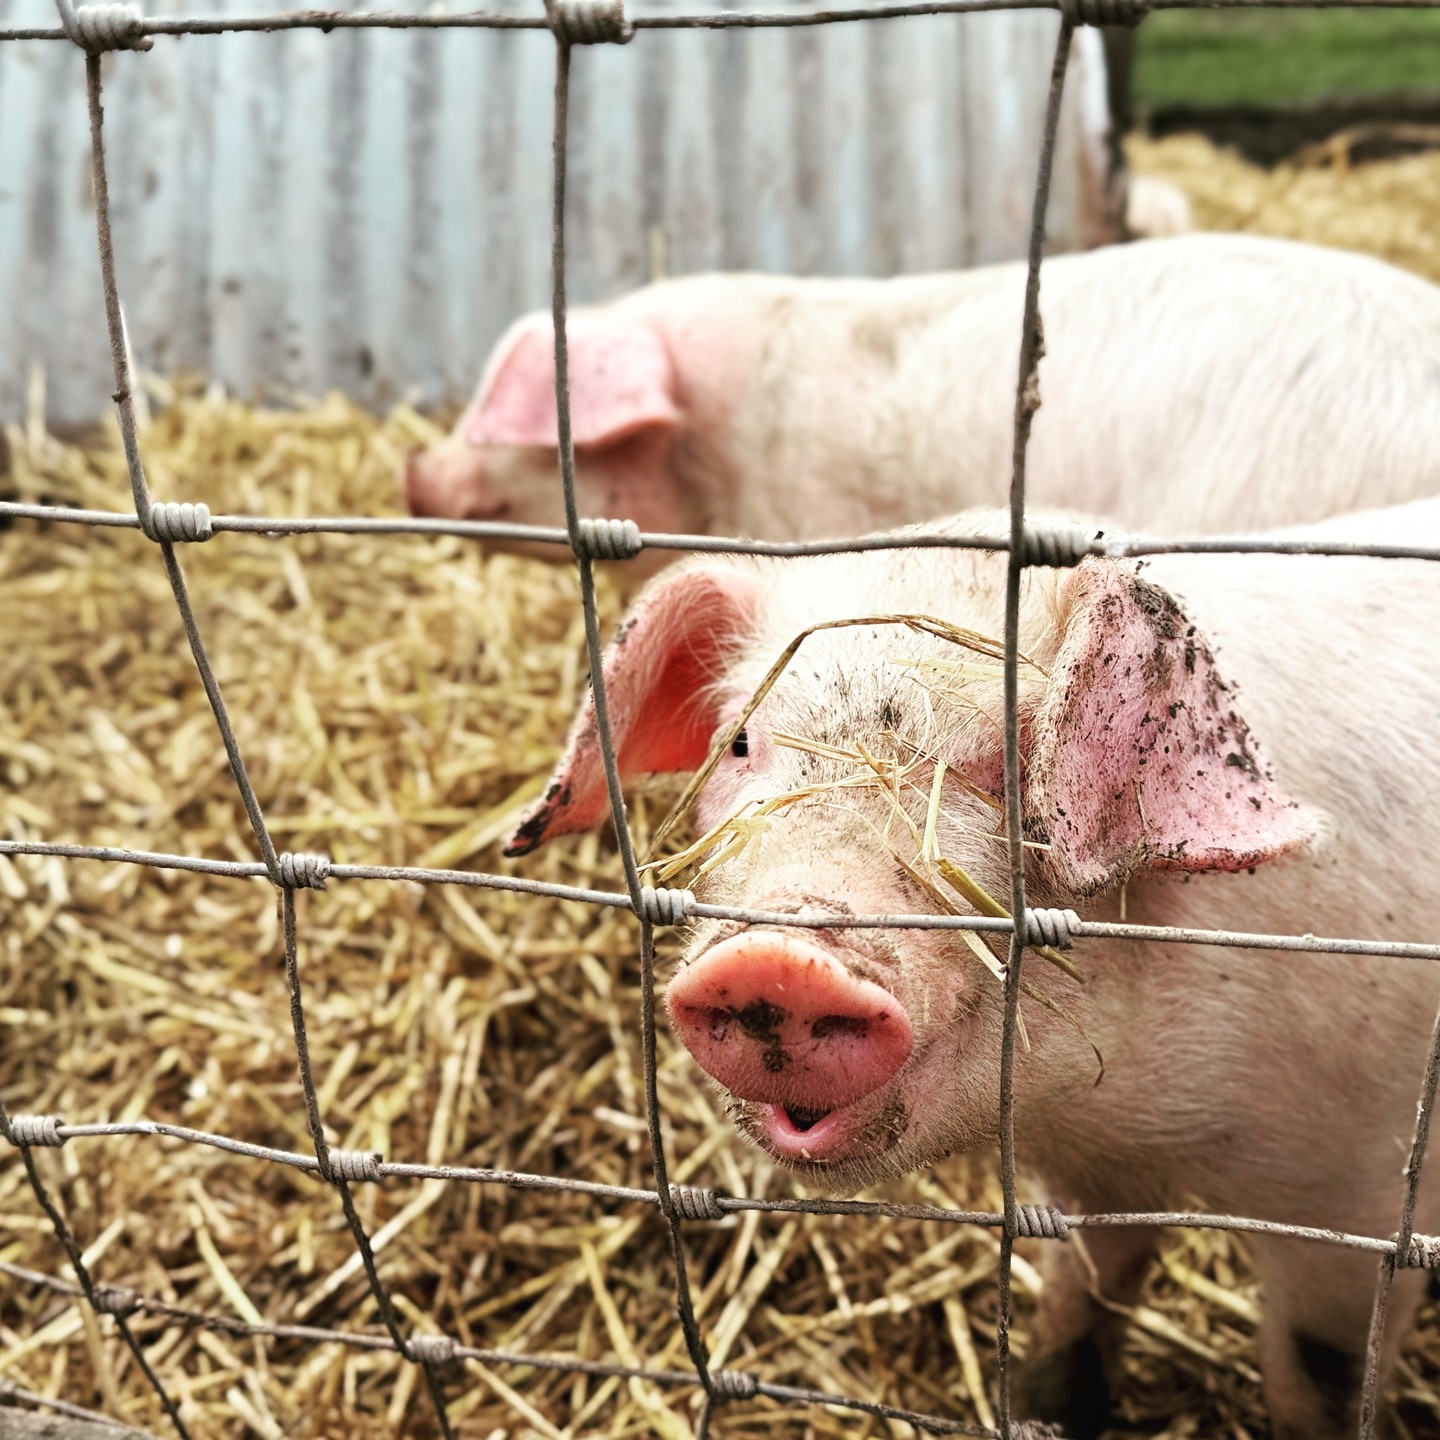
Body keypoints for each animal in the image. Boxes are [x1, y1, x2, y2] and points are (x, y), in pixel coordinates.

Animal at [503, 500, 1440, 1439]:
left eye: (1014, 761)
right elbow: (1084, 1288)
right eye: (737, 742)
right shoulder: (1098, 1177)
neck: (1143, 1117)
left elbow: (1315, 1377)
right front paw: (1050, 1403)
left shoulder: (1356, 1192)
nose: (781, 959)